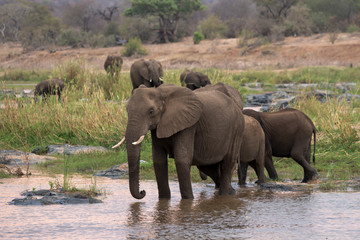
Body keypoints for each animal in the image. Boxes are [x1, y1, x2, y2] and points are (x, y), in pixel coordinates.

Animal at [113, 83, 245, 200]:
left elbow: (182, 159)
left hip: (237, 129)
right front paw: (164, 200)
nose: (143, 192)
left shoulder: (188, 125)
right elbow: (158, 161)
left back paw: (225, 194)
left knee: (228, 163)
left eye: (151, 111)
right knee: (207, 166)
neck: (161, 93)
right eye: (127, 110)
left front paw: (188, 200)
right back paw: (230, 191)